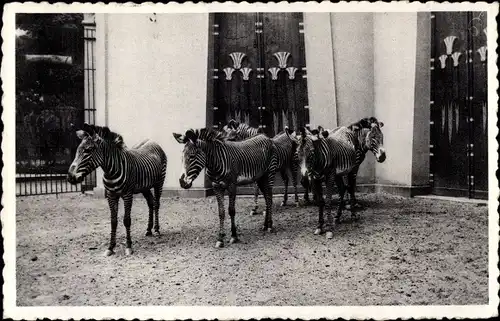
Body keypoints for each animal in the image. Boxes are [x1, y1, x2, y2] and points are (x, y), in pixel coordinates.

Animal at [65, 122, 168, 255]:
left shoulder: (127, 194)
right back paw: (149, 230)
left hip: (159, 182)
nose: (70, 177)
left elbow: (126, 220)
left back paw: (156, 230)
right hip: (144, 187)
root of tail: (152, 141)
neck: (111, 171)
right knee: (150, 203)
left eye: (88, 150)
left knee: (156, 204)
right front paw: (110, 247)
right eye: (78, 151)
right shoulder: (111, 195)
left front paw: (128, 246)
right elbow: (113, 221)